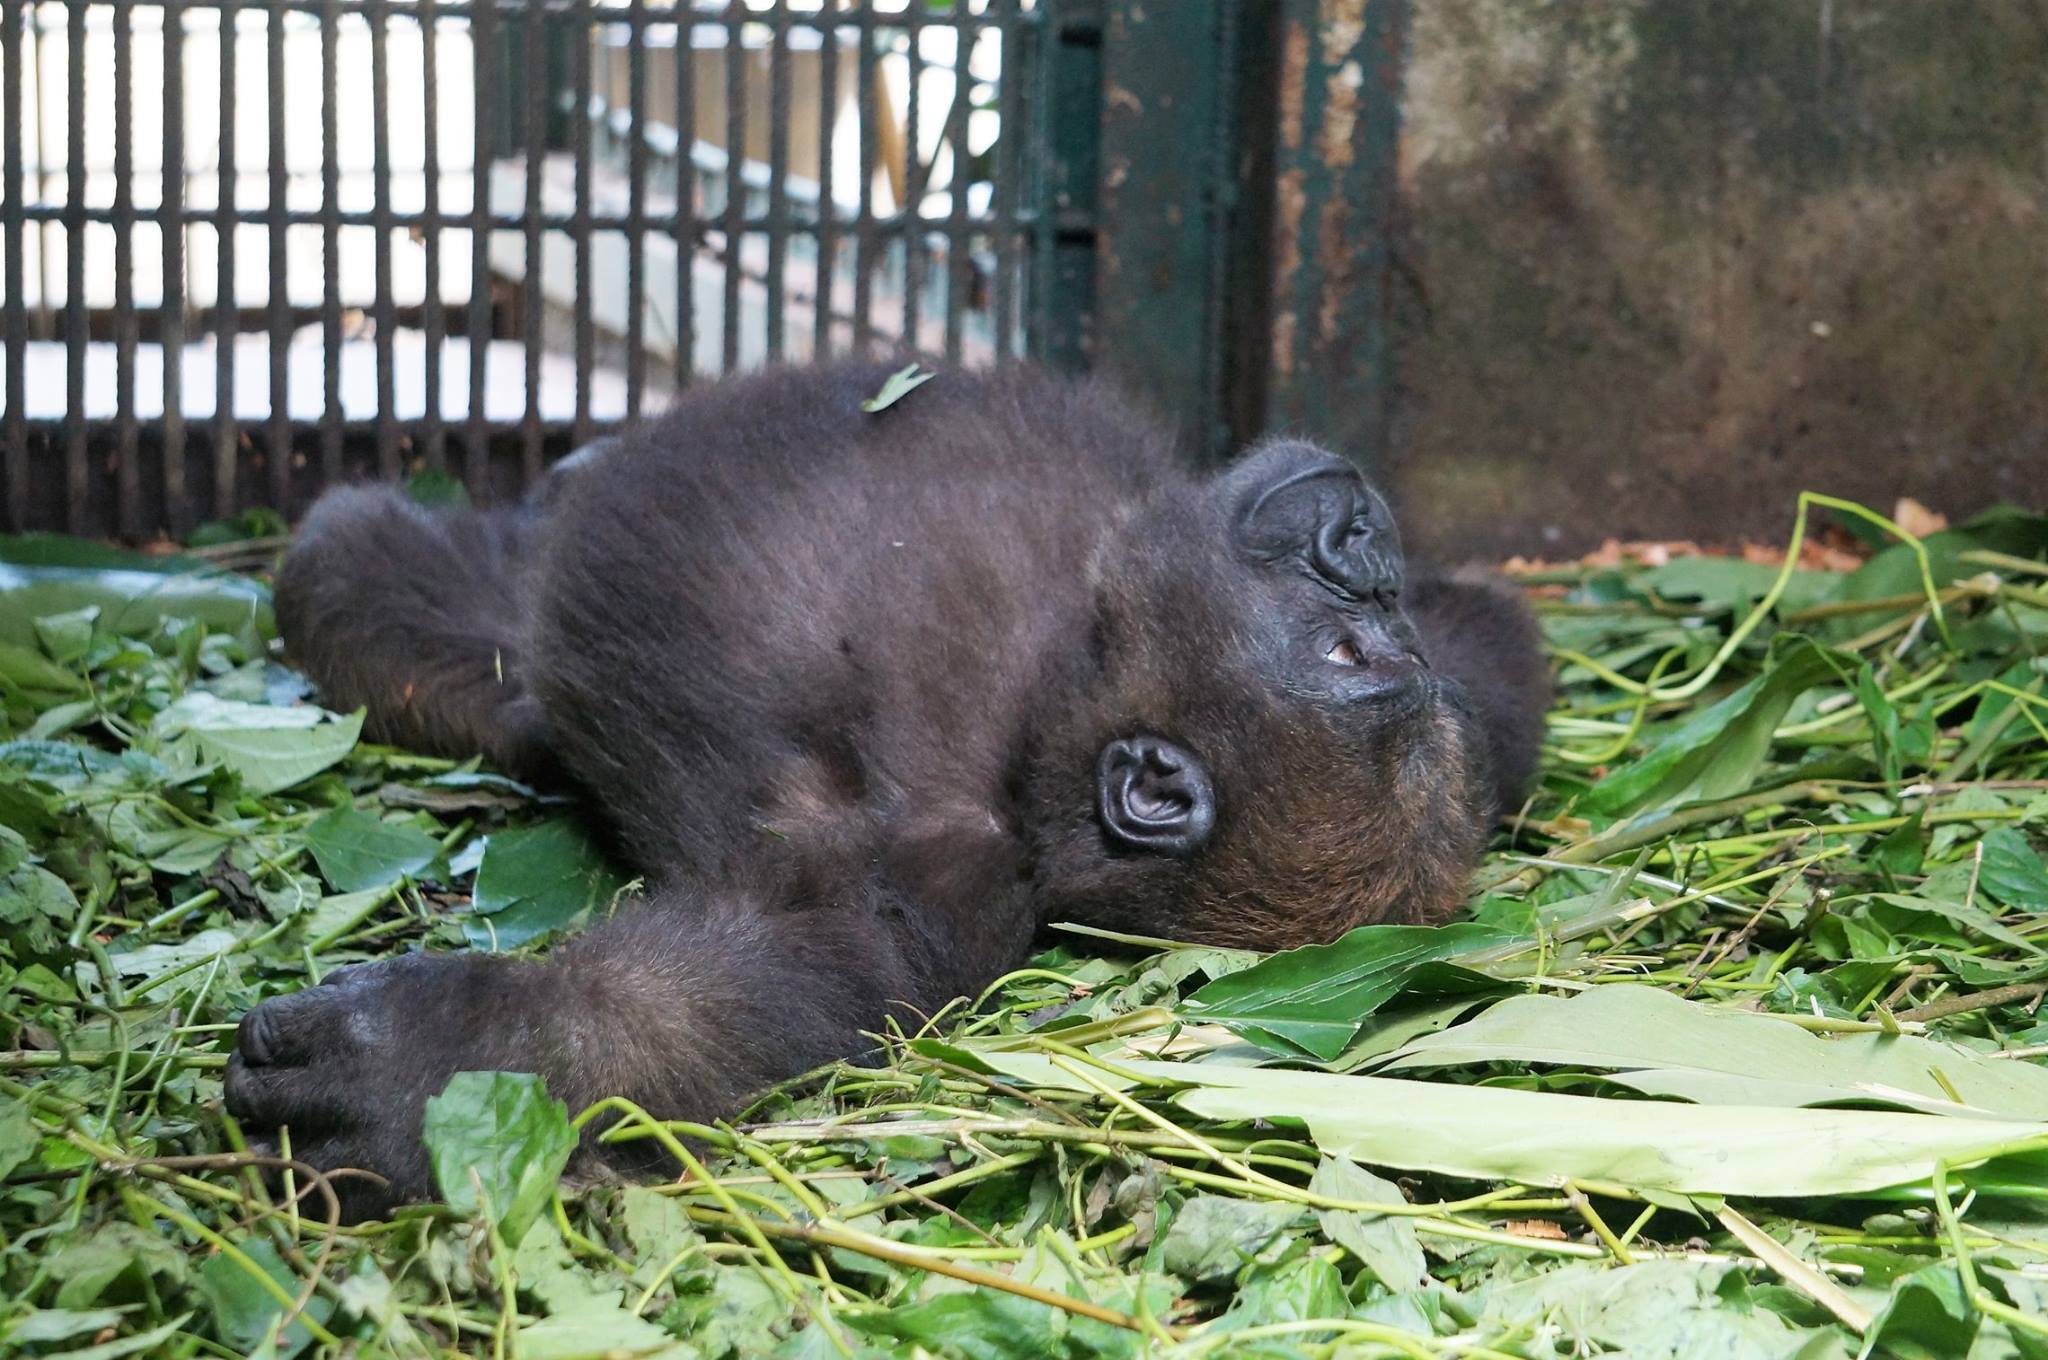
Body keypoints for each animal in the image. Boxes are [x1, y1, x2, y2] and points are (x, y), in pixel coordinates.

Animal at [225, 360, 1550, 1220]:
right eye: (1365, 643)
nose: (1365, 545)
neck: (1056, 699)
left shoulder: (928, 888)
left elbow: (737, 987)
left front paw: (442, 1057)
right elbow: (1497, 671)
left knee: (372, 591)